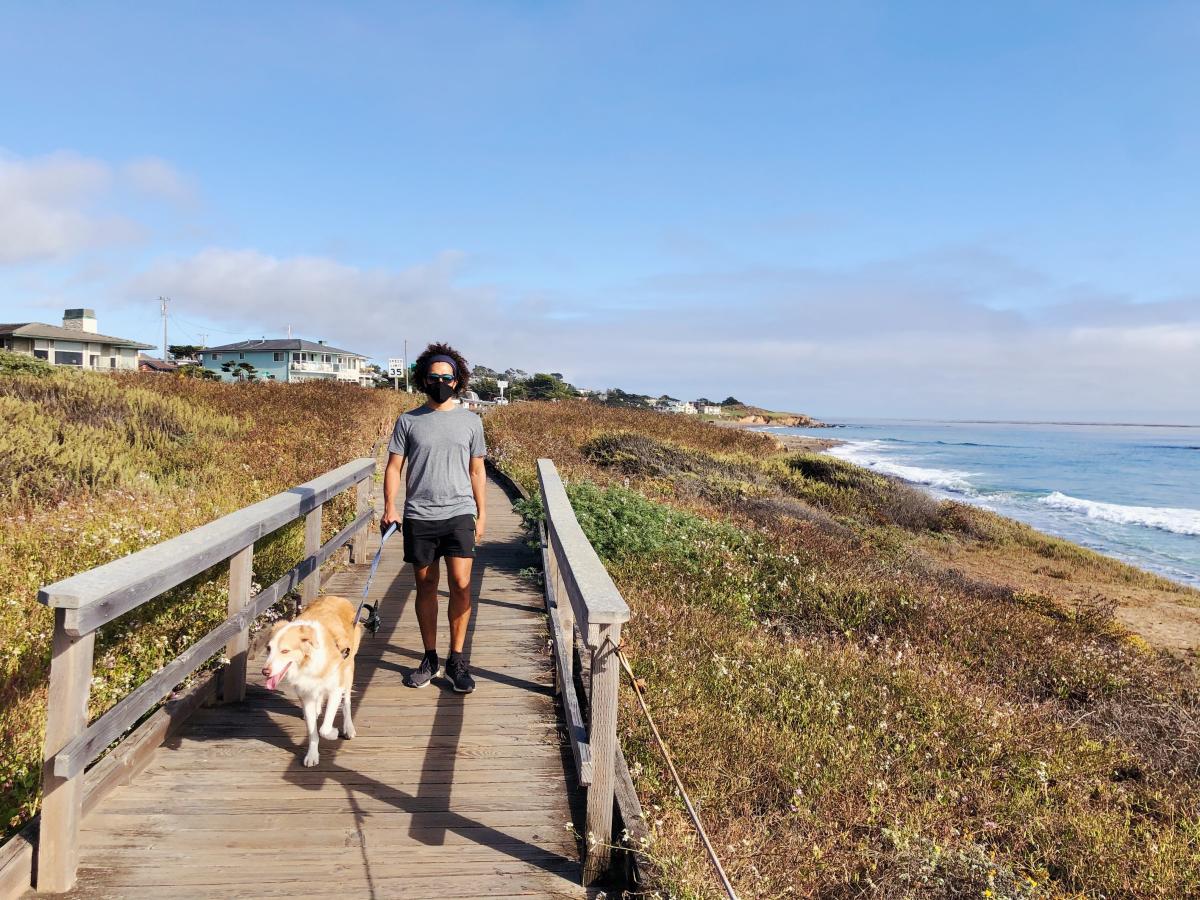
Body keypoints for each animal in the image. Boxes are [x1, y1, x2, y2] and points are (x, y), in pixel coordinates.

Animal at [260, 600, 357, 768]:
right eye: (268, 648)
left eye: (285, 651)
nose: (265, 672)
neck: (307, 662)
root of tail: (340, 599)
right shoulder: (306, 695)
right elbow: (313, 732)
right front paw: (312, 755)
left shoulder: (335, 689)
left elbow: (324, 728)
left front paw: (334, 733)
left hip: (348, 669)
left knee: (347, 702)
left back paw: (348, 727)